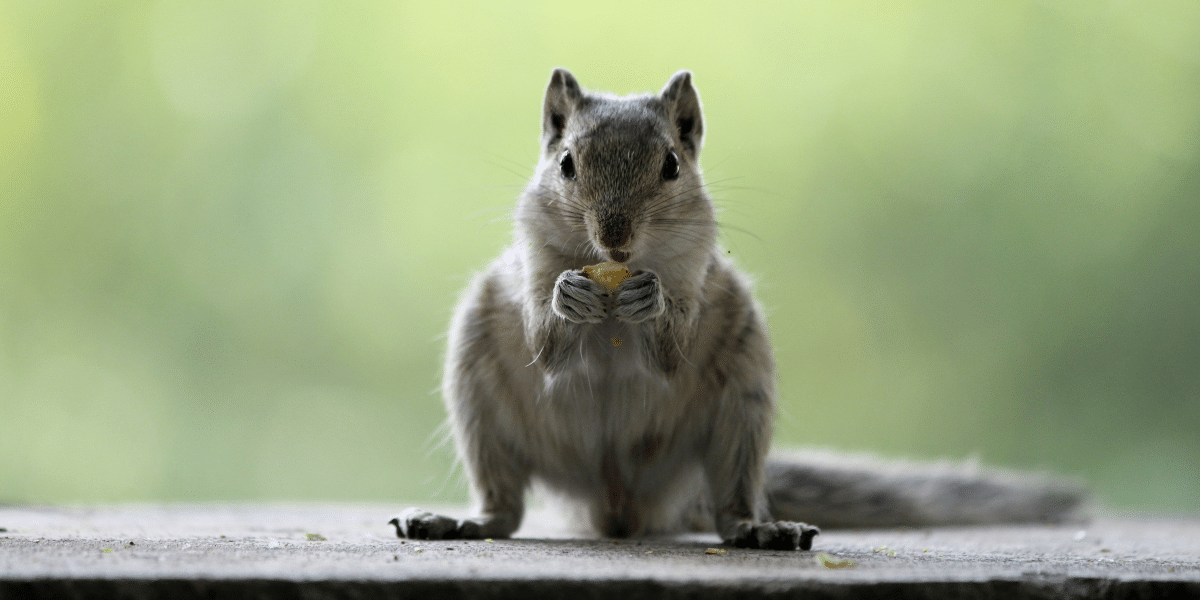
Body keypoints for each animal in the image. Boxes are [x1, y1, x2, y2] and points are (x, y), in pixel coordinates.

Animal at [386, 68, 1089, 549]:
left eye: (672, 164)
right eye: (565, 164)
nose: (614, 238)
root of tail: (619, 504)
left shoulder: (697, 270)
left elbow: (672, 350)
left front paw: (653, 303)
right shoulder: (531, 259)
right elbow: (543, 342)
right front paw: (566, 297)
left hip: (741, 409)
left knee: (729, 508)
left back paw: (759, 529)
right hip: (480, 399)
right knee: (504, 509)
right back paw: (461, 521)